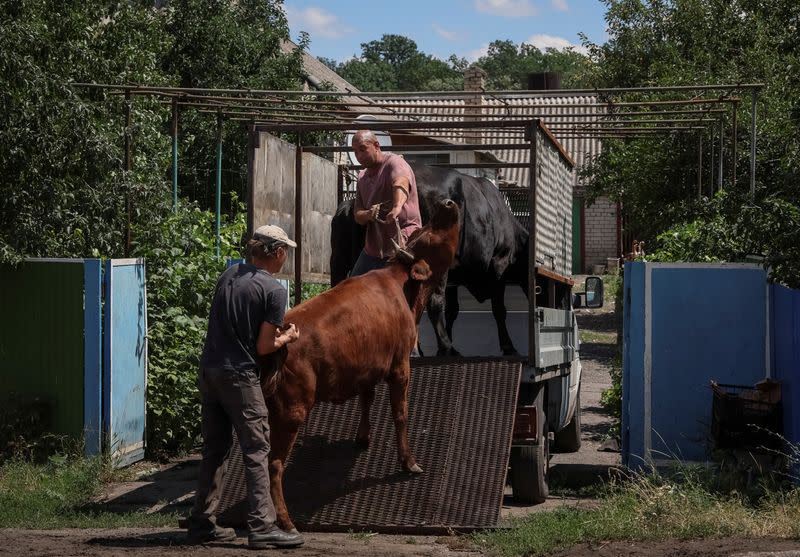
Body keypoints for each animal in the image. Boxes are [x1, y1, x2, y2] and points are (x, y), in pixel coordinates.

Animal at [264, 199, 460, 528]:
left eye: (422, 231)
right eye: (432, 235)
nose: (447, 202)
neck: (402, 287)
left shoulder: (369, 366)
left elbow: (366, 399)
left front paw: (363, 437)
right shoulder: (400, 366)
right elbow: (401, 414)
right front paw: (408, 462)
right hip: (292, 411)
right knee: (274, 463)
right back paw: (284, 518)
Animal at [328, 163, 528, 354]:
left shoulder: (454, 279)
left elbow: (453, 310)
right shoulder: (499, 264)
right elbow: (499, 309)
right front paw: (508, 347)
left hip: (339, 262)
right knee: (433, 303)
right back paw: (445, 348)